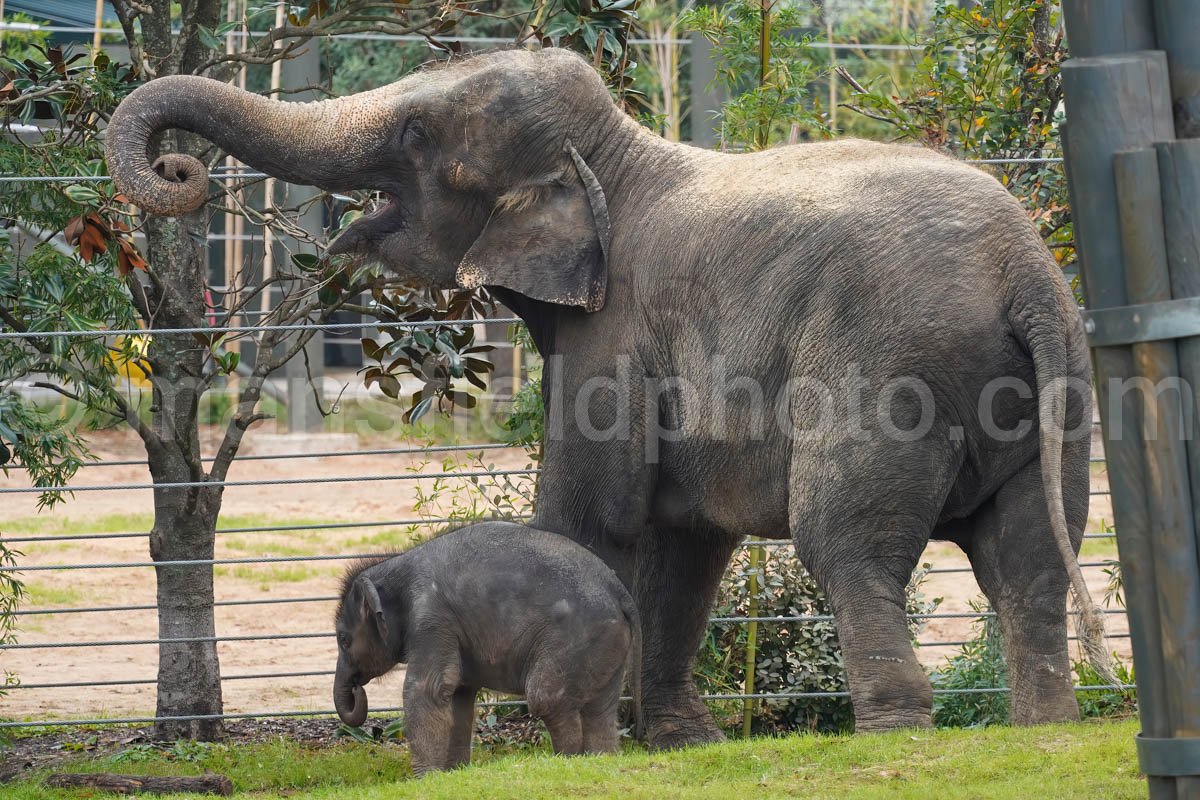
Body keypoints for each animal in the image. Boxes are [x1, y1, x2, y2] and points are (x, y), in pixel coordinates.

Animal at [333, 522, 638, 772]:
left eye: (343, 640)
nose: (357, 688)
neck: (395, 565)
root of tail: (620, 592)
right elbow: (459, 693)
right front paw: (454, 773)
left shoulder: (432, 619)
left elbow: (428, 690)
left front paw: (425, 778)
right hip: (608, 647)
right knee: (599, 709)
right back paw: (600, 758)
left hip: (576, 639)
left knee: (547, 699)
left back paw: (568, 760)